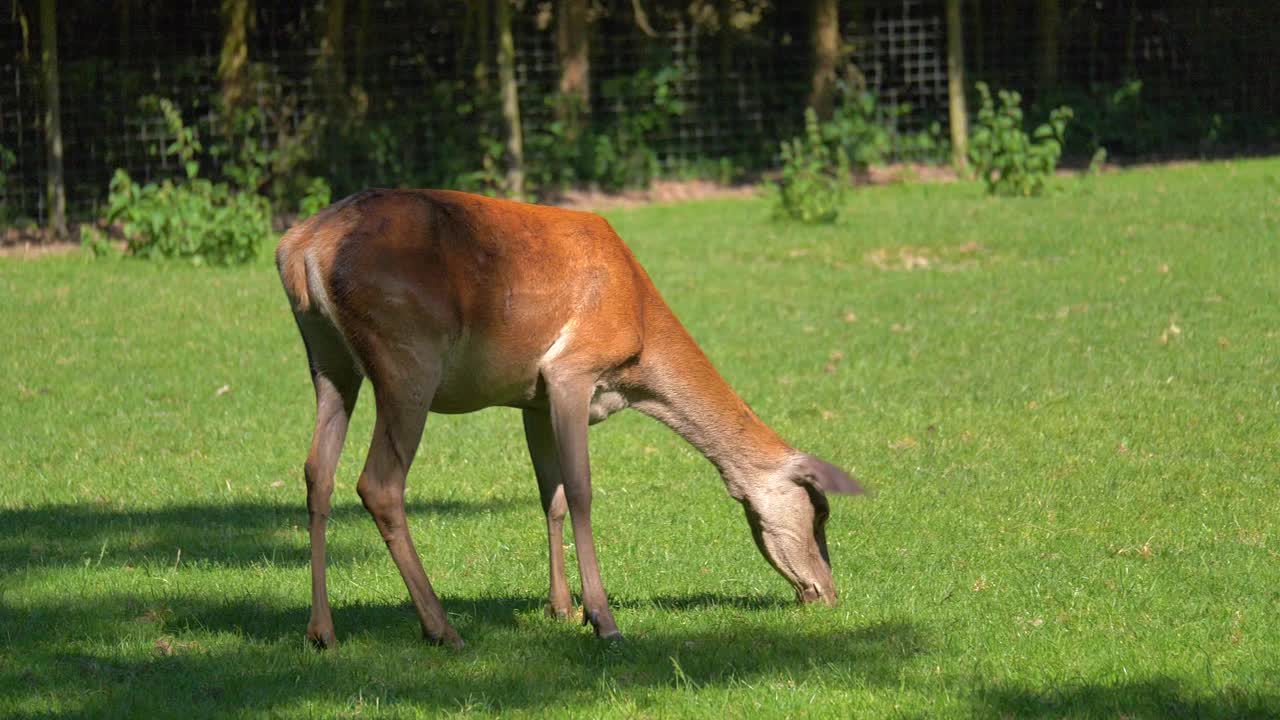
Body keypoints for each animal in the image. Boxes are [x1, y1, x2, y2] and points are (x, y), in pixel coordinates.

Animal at [275, 188, 865, 648]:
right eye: (821, 513)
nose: (828, 593)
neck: (641, 345)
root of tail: (300, 250)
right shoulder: (571, 371)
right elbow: (580, 492)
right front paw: (603, 619)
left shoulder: (532, 398)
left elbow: (551, 495)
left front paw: (561, 608)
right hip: (407, 356)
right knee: (378, 483)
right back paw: (442, 628)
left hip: (326, 358)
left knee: (317, 472)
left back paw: (321, 631)